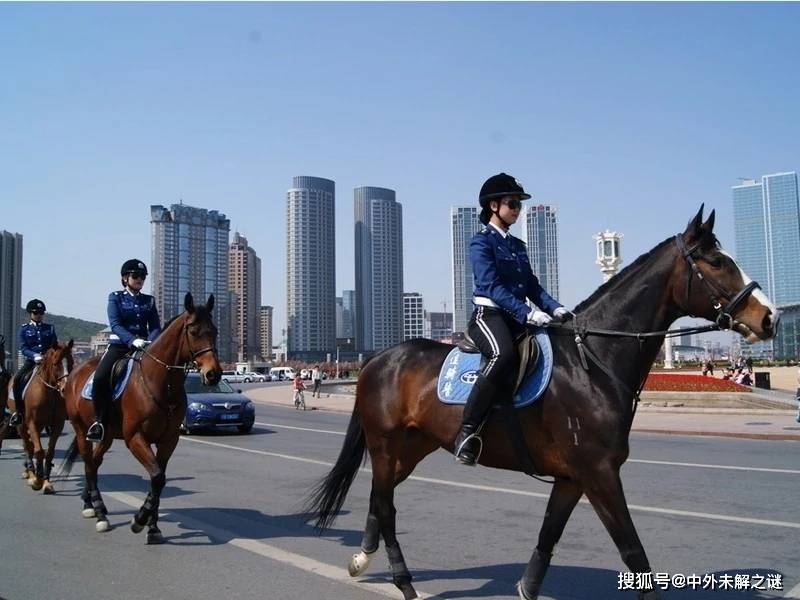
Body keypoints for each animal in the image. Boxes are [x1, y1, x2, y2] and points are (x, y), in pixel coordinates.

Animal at [6, 340, 75, 490]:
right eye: (56, 363)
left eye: (71, 362)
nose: (65, 389)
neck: (50, 392)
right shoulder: (32, 422)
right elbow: (39, 451)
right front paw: (37, 480)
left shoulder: (58, 424)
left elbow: (49, 452)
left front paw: (46, 481)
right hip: (21, 424)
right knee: (28, 446)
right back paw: (31, 473)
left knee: (30, 446)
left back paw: (30, 471)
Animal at [60, 292, 220, 540]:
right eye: (194, 331)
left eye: (214, 331)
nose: (213, 374)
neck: (160, 383)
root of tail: (76, 372)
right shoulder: (135, 437)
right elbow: (156, 477)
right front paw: (140, 520)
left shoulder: (169, 440)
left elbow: (159, 479)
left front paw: (152, 527)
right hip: (80, 429)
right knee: (88, 464)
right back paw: (100, 514)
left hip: (107, 435)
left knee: (94, 463)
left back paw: (91, 505)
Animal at [304, 207, 776, 600]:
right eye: (717, 262)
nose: (769, 317)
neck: (592, 362)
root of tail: (377, 359)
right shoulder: (599, 473)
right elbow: (634, 554)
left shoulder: (572, 477)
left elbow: (548, 537)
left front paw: (526, 588)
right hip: (385, 445)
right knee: (385, 505)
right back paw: (403, 581)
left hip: (412, 447)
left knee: (378, 499)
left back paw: (362, 559)